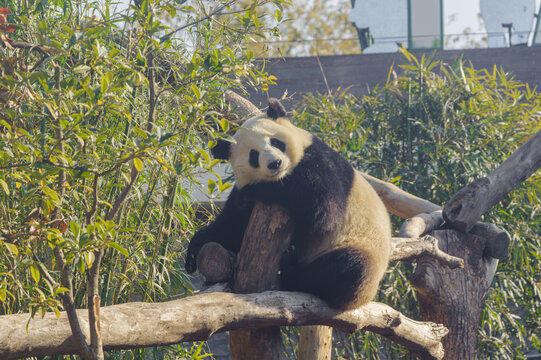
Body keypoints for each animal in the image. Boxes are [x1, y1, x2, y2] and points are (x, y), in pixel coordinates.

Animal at [184, 97, 390, 310]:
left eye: (275, 142)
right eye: (253, 155)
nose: (275, 163)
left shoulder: (324, 164)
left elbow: (325, 209)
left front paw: (260, 190)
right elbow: (230, 228)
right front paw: (193, 255)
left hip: (360, 250)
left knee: (347, 270)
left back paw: (291, 270)